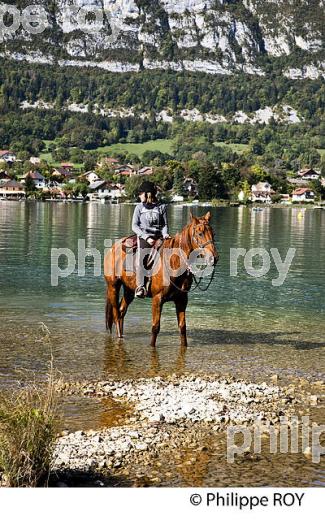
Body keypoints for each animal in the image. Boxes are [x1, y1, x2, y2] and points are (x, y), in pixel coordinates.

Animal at [103, 209, 218, 348]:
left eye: (213, 233)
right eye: (200, 233)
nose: (214, 258)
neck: (174, 262)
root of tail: (113, 247)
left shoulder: (182, 300)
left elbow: (182, 327)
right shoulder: (157, 299)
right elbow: (155, 327)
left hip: (129, 290)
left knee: (121, 312)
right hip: (113, 286)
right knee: (115, 313)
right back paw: (119, 338)